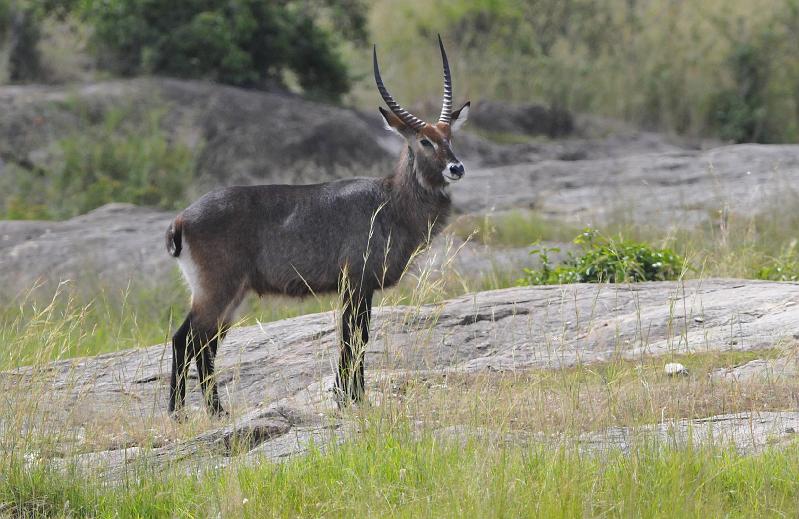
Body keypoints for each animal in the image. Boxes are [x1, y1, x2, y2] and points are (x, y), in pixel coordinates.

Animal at [166, 35, 472, 418]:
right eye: (424, 140)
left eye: (449, 136)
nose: (456, 168)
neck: (391, 200)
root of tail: (181, 219)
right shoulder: (356, 283)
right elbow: (354, 339)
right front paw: (351, 399)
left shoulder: (358, 288)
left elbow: (353, 338)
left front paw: (348, 396)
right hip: (216, 290)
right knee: (186, 339)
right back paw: (179, 414)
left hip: (233, 295)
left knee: (204, 345)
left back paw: (215, 412)